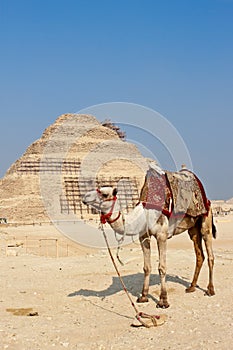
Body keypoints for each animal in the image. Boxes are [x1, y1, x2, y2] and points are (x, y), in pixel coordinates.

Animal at [83, 171, 216, 308]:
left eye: (104, 194)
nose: (85, 196)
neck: (144, 214)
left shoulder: (162, 235)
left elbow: (162, 267)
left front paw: (163, 300)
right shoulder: (143, 236)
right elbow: (146, 267)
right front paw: (143, 296)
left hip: (206, 220)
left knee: (210, 254)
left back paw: (210, 290)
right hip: (193, 228)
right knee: (199, 255)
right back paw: (191, 287)